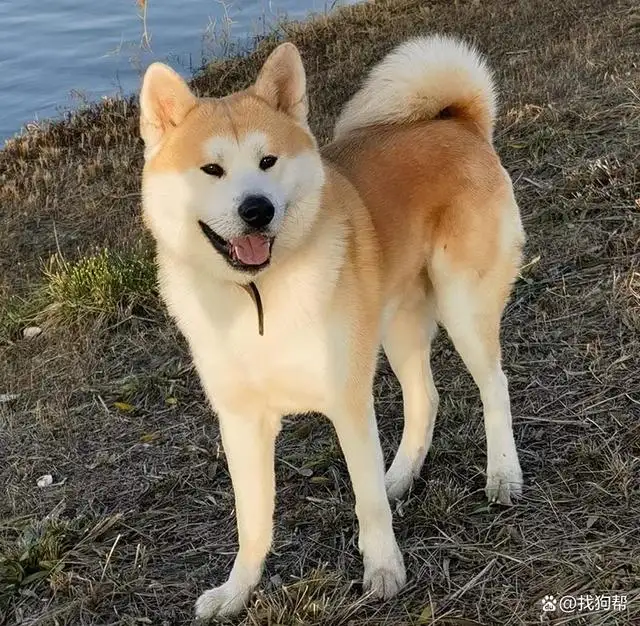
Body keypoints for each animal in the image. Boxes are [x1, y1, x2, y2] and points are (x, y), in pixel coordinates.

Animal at [139, 35, 524, 620]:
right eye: (211, 170)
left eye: (267, 161)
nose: (257, 209)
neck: (259, 296)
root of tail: (459, 122)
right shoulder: (241, 423)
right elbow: (252, 522)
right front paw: (237, 591)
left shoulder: (347, 401)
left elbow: (366, 502)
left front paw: (383, 569)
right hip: (397, 323)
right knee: (425, 397)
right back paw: (401, 474)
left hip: (464, 308)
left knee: (494, 386)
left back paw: (502, 473)